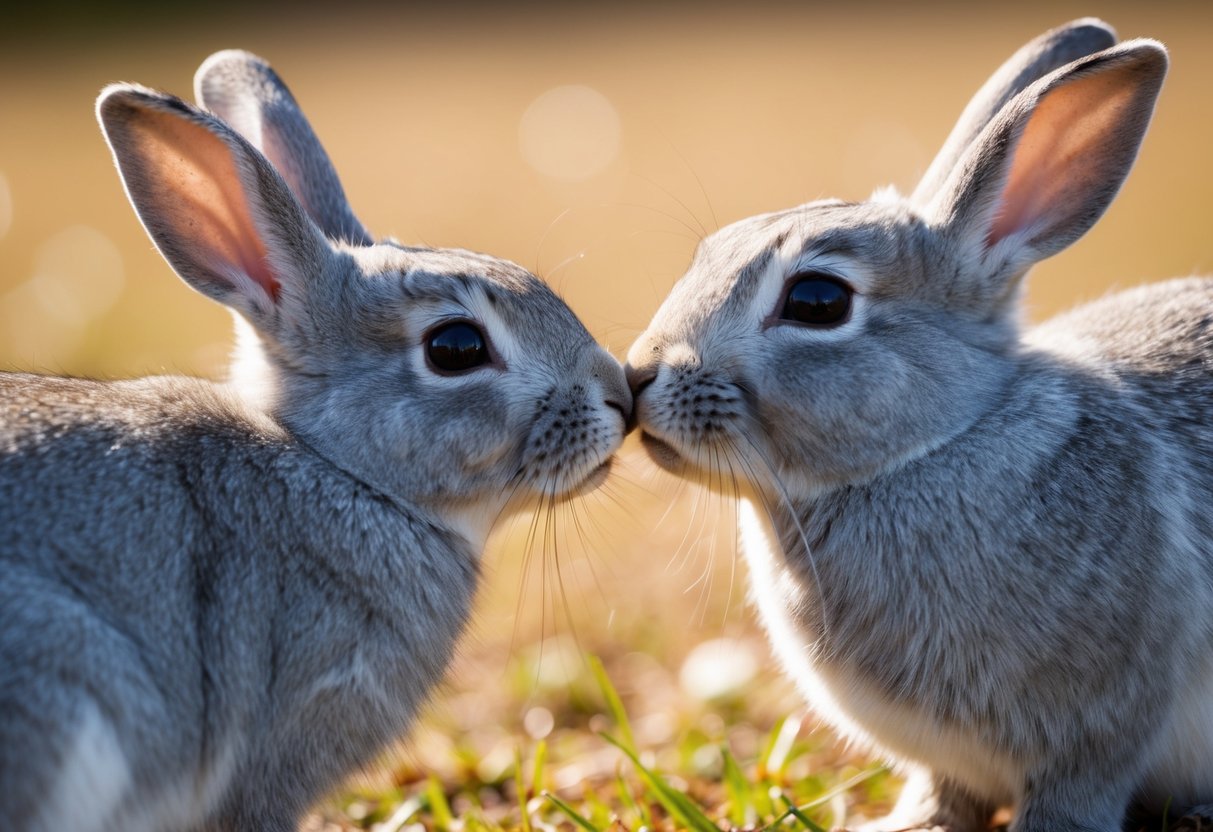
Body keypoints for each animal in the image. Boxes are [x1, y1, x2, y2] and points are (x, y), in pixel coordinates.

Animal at [626, 18, 1213, 832]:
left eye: (817, 301)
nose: (638, 375)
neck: (930, 445)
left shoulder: (1099, 731)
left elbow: (1073, 797)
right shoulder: (949, 760)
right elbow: (942, 793)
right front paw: (907, 823)